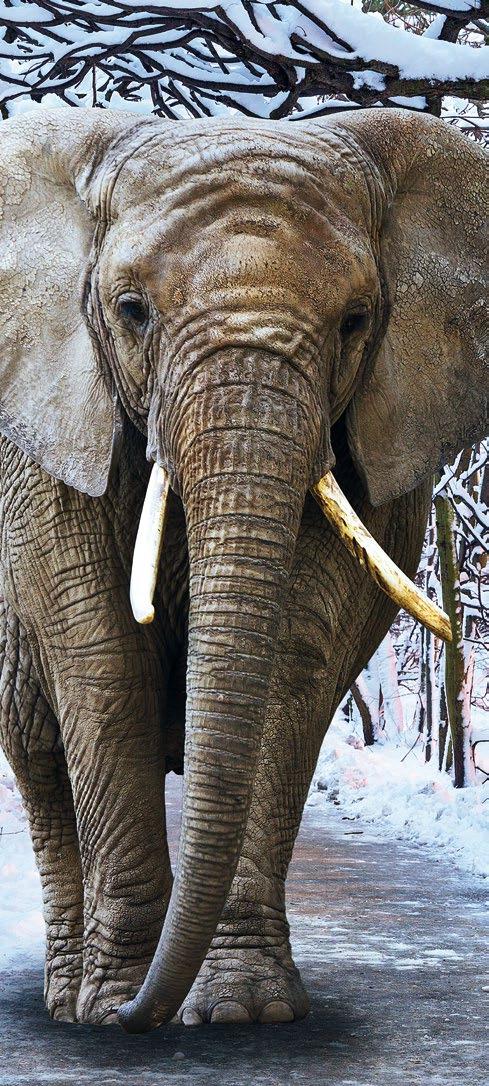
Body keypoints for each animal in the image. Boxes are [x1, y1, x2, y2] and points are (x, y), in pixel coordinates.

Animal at [0, 103, 484, 1033]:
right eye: (131, 311)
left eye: (356, 321)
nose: (138, 1017)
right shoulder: (46, 452)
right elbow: (103, 661)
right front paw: (114, 1005)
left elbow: (294, 658)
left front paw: (239, 1011)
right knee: (39, 752)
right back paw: (69, 999)